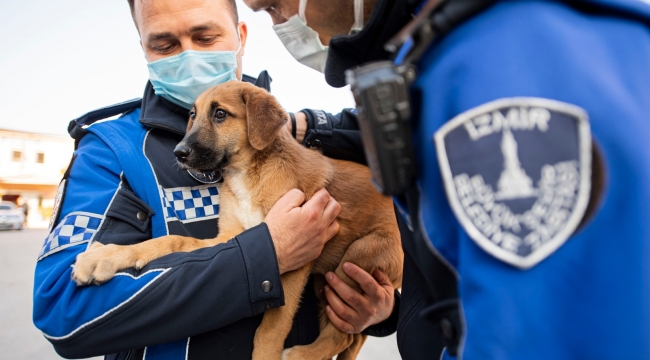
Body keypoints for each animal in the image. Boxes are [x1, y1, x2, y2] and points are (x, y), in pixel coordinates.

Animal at [71, 81, 400, 360]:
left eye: (220, 114)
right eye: (193, 115)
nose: (179, 153)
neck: (249, 174)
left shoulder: (300, 258)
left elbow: (271, 327)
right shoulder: (233, 239)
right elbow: (173, 240)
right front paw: (106, 256)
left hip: (360, 254)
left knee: (342, 336)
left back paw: (299, 354)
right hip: (325, 279)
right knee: (350, 336)